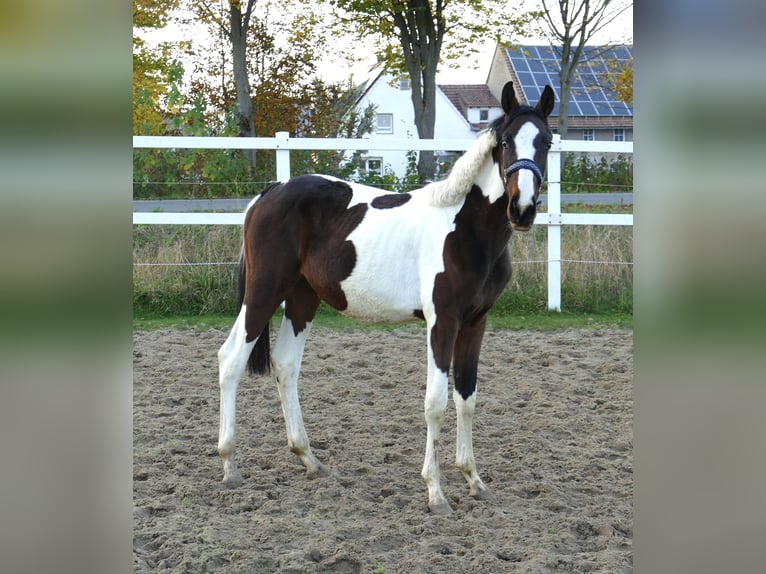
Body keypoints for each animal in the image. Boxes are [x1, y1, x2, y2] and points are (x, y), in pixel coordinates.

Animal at [219, 82, 556, 516]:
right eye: (505, 142)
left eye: (546, 141)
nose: (523, 208)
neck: (465, 230)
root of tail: (269, 192)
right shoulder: (442, 321)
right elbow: (436, 402)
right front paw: (436, 493)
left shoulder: (476, 322)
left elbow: (466, 397)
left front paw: (474, 481)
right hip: (263, 292)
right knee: (231, 359)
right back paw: (230, 466)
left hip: (302, 298)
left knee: (285, 364)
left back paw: (310, 459)